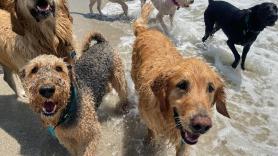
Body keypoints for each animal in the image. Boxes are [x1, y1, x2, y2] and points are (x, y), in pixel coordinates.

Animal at [132, 3, 230, 156]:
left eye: (211, 88)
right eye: (182, 85)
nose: (202, 125)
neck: (167, 118)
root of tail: (146, 31)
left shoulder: (184, 141)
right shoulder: (151, 122)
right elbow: (151, 133)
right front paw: (148, 144)